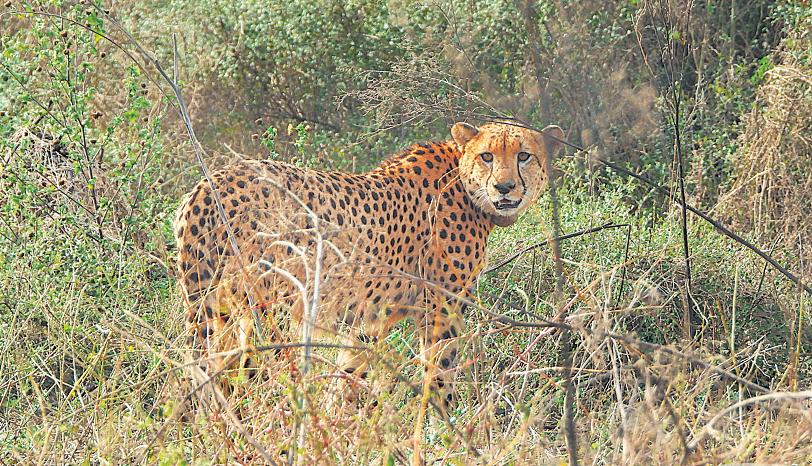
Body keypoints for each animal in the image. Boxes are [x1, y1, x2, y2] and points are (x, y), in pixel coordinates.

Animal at [174, 121, 564, 416]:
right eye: (487, 156)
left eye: (524, 156)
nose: (504, 187)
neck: (463, 181)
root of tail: (210, 182)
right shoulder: (441, 312)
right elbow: (439, 376)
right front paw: (444, 431)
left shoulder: (368, 320)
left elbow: (350, 376)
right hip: (272, 313)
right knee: (256, 377)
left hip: (218, 309)